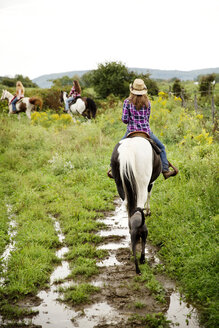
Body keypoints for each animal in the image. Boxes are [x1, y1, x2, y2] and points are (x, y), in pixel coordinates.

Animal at [110, 134, 162, 274]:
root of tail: (128, 150)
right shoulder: (151, 182)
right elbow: (149, 195)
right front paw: (148, 211)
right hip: (142, 181)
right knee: (139, 204)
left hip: (119, 183)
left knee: (129, 205)